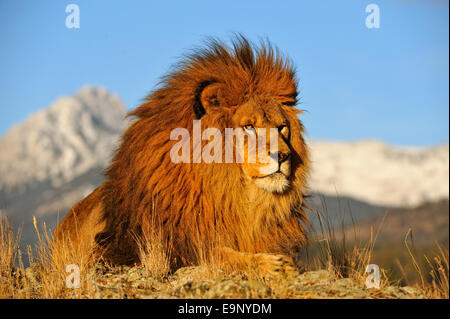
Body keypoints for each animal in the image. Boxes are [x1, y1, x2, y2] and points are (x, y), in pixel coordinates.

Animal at [53, 35, 310, 278]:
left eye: (281, 127)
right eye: (248, 126)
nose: (283, 155)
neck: (231, 194)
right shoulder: (155, 247)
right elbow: (218, 254)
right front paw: (272, 264)